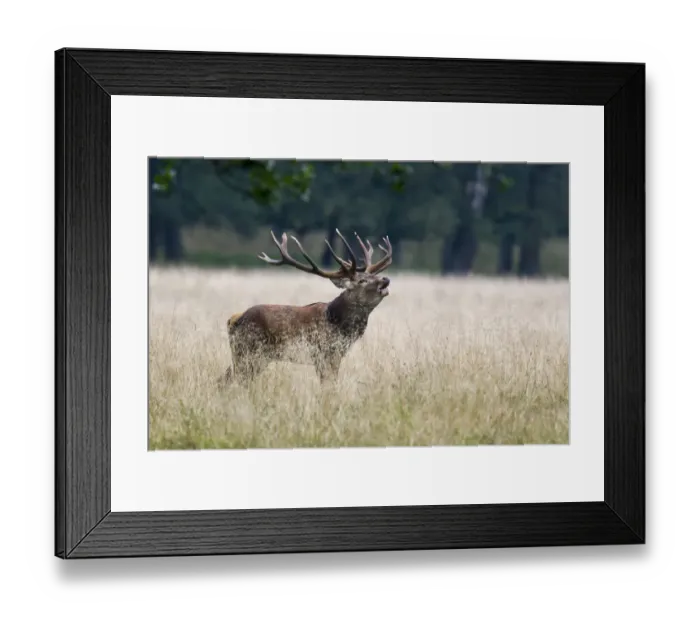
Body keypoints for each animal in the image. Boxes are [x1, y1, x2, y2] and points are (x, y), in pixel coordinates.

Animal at [219, 229, 393, 386]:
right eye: (362, 281)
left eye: (374, 275)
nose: (386, 279)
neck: (339, 326)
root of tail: (233, 319)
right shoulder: (323, 352)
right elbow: (328, 385)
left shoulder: (335, 354)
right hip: (248, 350)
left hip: (256, 356)